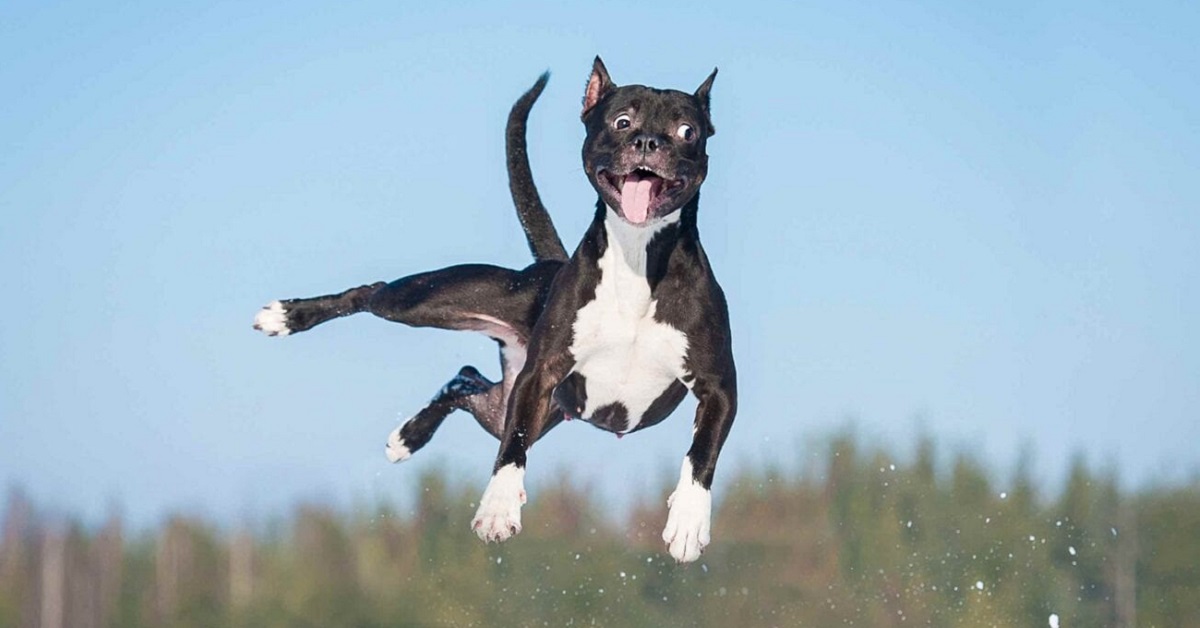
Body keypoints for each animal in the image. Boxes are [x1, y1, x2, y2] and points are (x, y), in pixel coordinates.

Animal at [255, 56, 729, 561]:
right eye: (622, 122)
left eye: (687, 131)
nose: (648, 142)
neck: (638, 256)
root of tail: (550, 265)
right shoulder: (539, 375)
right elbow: (512, 450)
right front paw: (499, 508)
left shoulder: (718, 390)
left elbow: (701, 453)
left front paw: (688, 522)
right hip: (427, 302)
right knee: (371, 294)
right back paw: (286, 317)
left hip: (506, 403)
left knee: (464, 379)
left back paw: (408, 437)